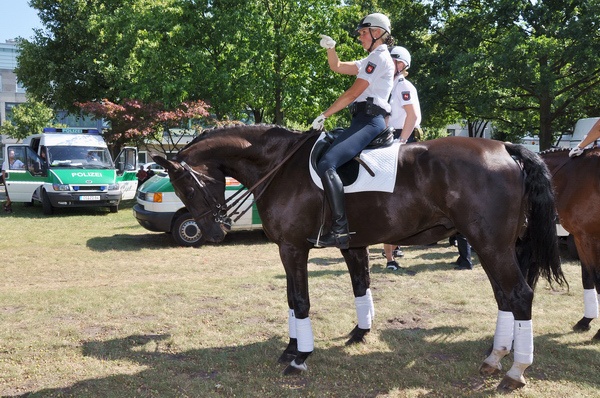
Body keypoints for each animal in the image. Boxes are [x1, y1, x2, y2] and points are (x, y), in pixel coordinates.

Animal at [152, 125, 564, 392]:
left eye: (187, 185)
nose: (213, 231)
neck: (279, 164)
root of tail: (505, 148)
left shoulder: (293, 247)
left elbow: (300, 300)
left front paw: (300, 356)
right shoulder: (339, 246)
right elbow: (334, 290)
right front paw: (297, 347)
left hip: (491, 245)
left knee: (519, 295)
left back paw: (515, 370)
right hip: (492, 246)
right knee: (504, 297)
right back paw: (495, 358)